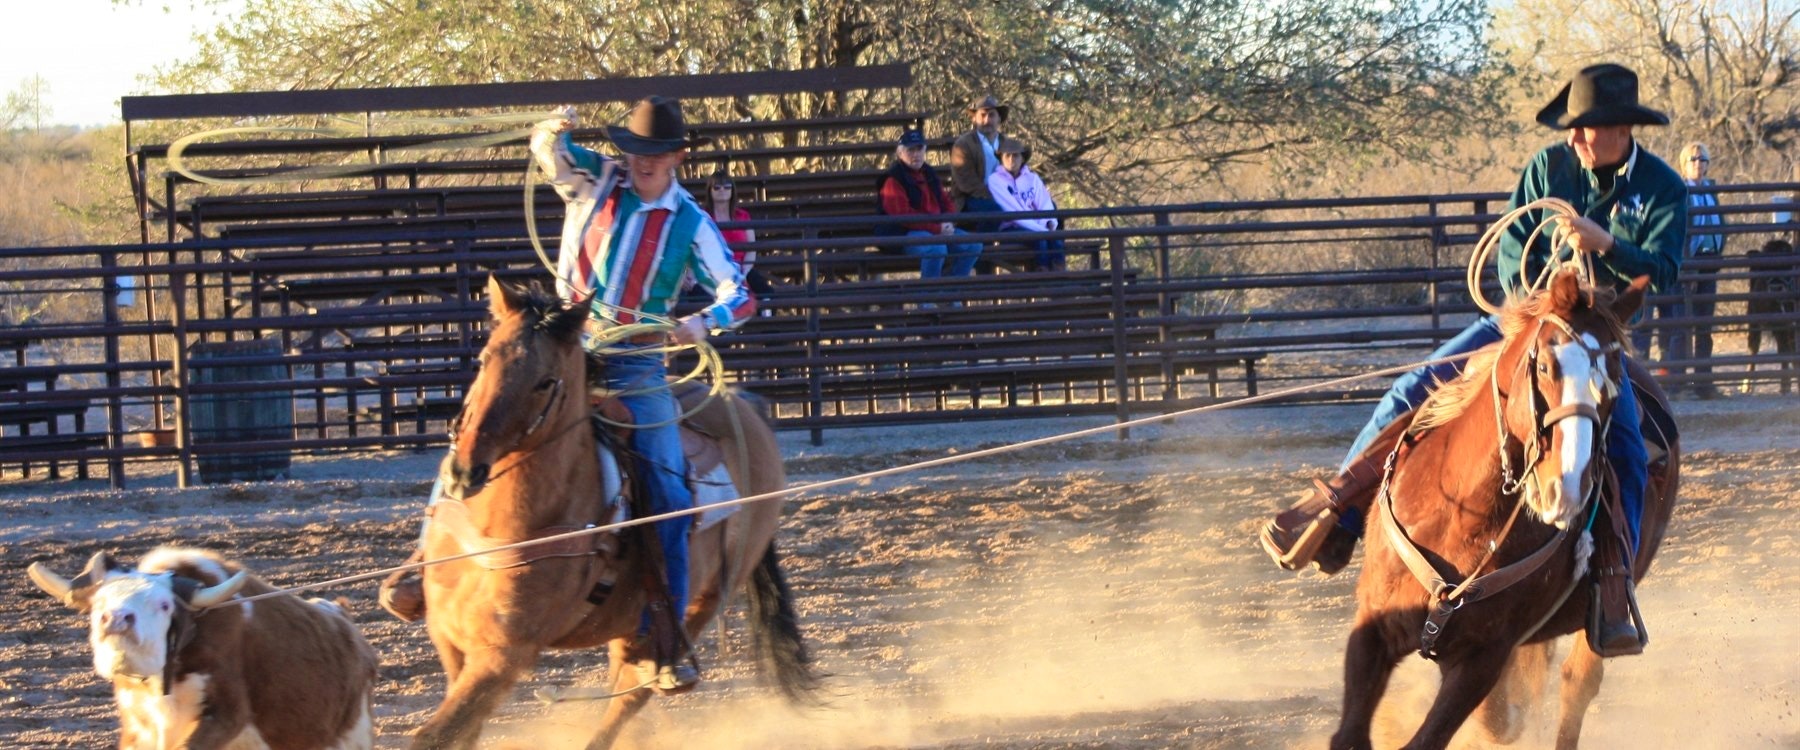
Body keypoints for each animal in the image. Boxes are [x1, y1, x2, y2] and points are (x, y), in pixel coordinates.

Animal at [411, 276, 821, 749]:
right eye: (483, 360)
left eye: (545, 382)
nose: (463, 471)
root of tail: (742, 403)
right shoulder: (449, 638)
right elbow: (459, 731)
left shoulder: (504, 654)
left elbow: (433, 735)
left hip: (702, 600)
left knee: (631, 696)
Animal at [1331, 269, 1679, 750]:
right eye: (1546, 367)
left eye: (1612, 385)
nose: (1566, 488)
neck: (1461, 518)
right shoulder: (1371, 632)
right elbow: (1349, 735)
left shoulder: (1482, 659)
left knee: (1576, 683)